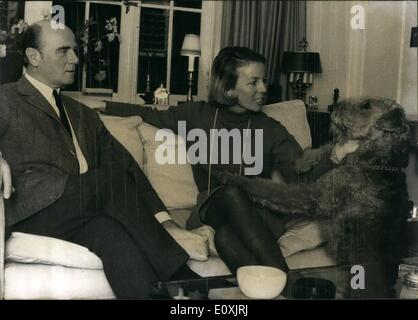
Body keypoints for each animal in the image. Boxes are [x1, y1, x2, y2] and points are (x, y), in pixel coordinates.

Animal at [220, 97, 410, 298]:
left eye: (367, 105)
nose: (336, 107)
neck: (380, 162)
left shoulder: (314, 194)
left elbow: (268, 188)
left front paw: (232, 178)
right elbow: (326, 148)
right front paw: (303, 162)